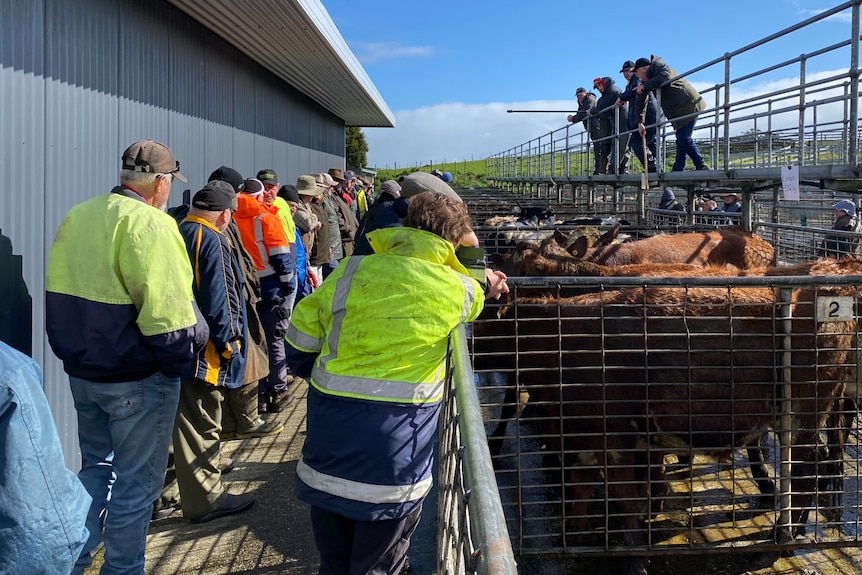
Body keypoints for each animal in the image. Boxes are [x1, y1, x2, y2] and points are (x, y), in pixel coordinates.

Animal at [472, 258, 862, 575]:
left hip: (804, 408)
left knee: (810, 465)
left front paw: (632, 558)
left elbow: (626, 499)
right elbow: (583, 487)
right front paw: (575, 532)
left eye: (481, 323)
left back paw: (782, 537)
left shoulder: (615, 437)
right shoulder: (587, 433)